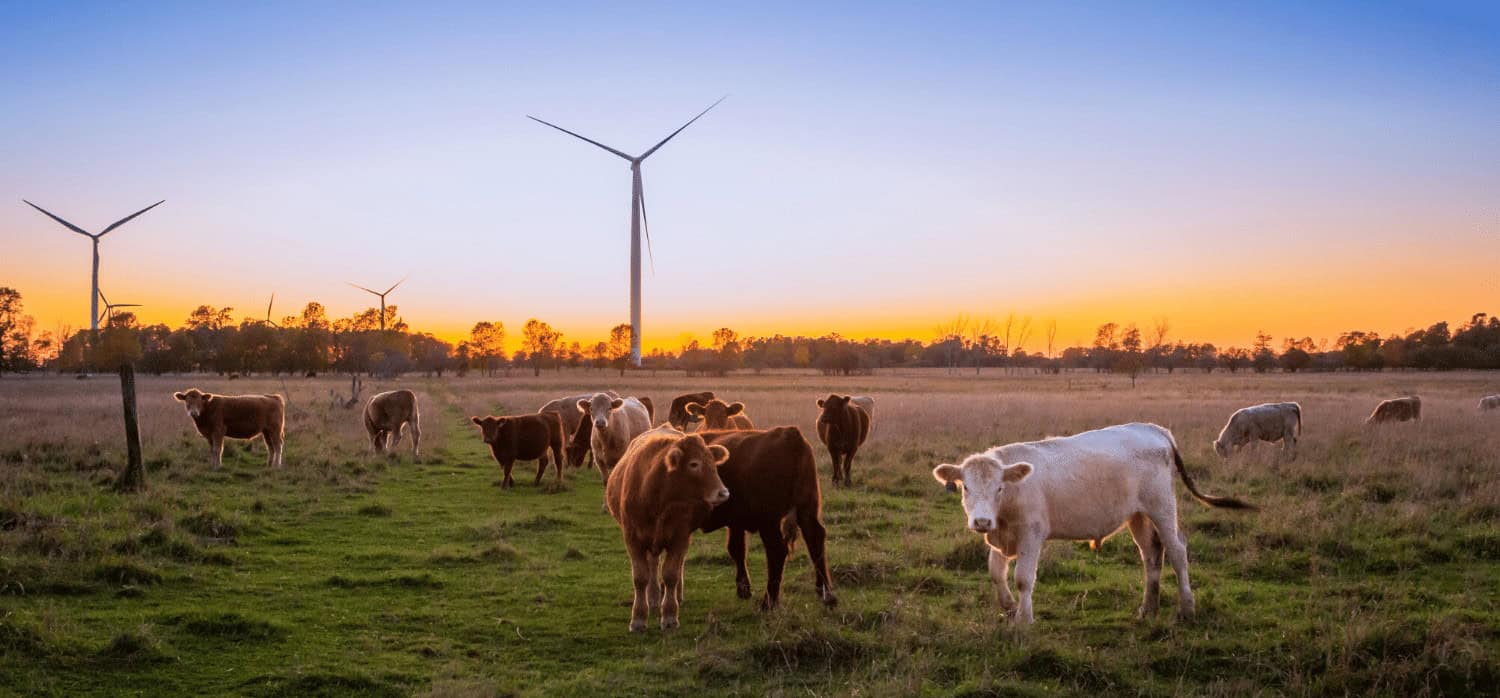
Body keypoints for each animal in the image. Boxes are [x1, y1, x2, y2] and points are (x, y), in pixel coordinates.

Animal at [603, 423, 732, 630]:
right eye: (694, 464)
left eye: (713, 462)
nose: (723, 493)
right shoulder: (633, 539)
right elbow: (640, 577)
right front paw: (638, 618)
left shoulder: (680, 536)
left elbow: (671, 574)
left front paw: (670, 615)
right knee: (653, 564)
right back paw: (653, 597)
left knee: (677, 565)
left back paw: (676, 596)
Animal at [699, 423, 840, 609]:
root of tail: (790, 434)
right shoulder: (736, 522)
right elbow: (737, 549)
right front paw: (743, 589)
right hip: (807, 510)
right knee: (815, 539)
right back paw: (826, 593)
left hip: (769, 521)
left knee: (777, 550)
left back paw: (768, 602)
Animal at [930, 420, 1248, 624]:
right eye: (965, 487)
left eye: (999, 487)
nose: (982, 521)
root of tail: (1153, 428)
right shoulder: (1002, 536)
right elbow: (996, 573)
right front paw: (1009, 609)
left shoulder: (1031, 534)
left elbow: (1023, 578)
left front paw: (1024, 619)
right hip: (1138, 515)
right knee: (1151, 555)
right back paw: (1148, 608)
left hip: (1162, 507)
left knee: (1178, 552)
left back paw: (1187, 609)